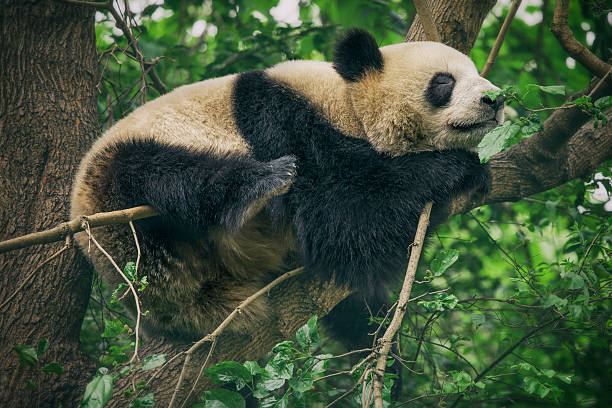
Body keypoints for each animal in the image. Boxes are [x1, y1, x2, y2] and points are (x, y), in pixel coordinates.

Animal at [70, 27, 502, 342]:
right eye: (444, 82)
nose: (495, 99)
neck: (345, 100)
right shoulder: (278, 117)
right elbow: (338, 219)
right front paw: (456, 168)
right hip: (114, 183)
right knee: (168, 175)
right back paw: (257, 185)